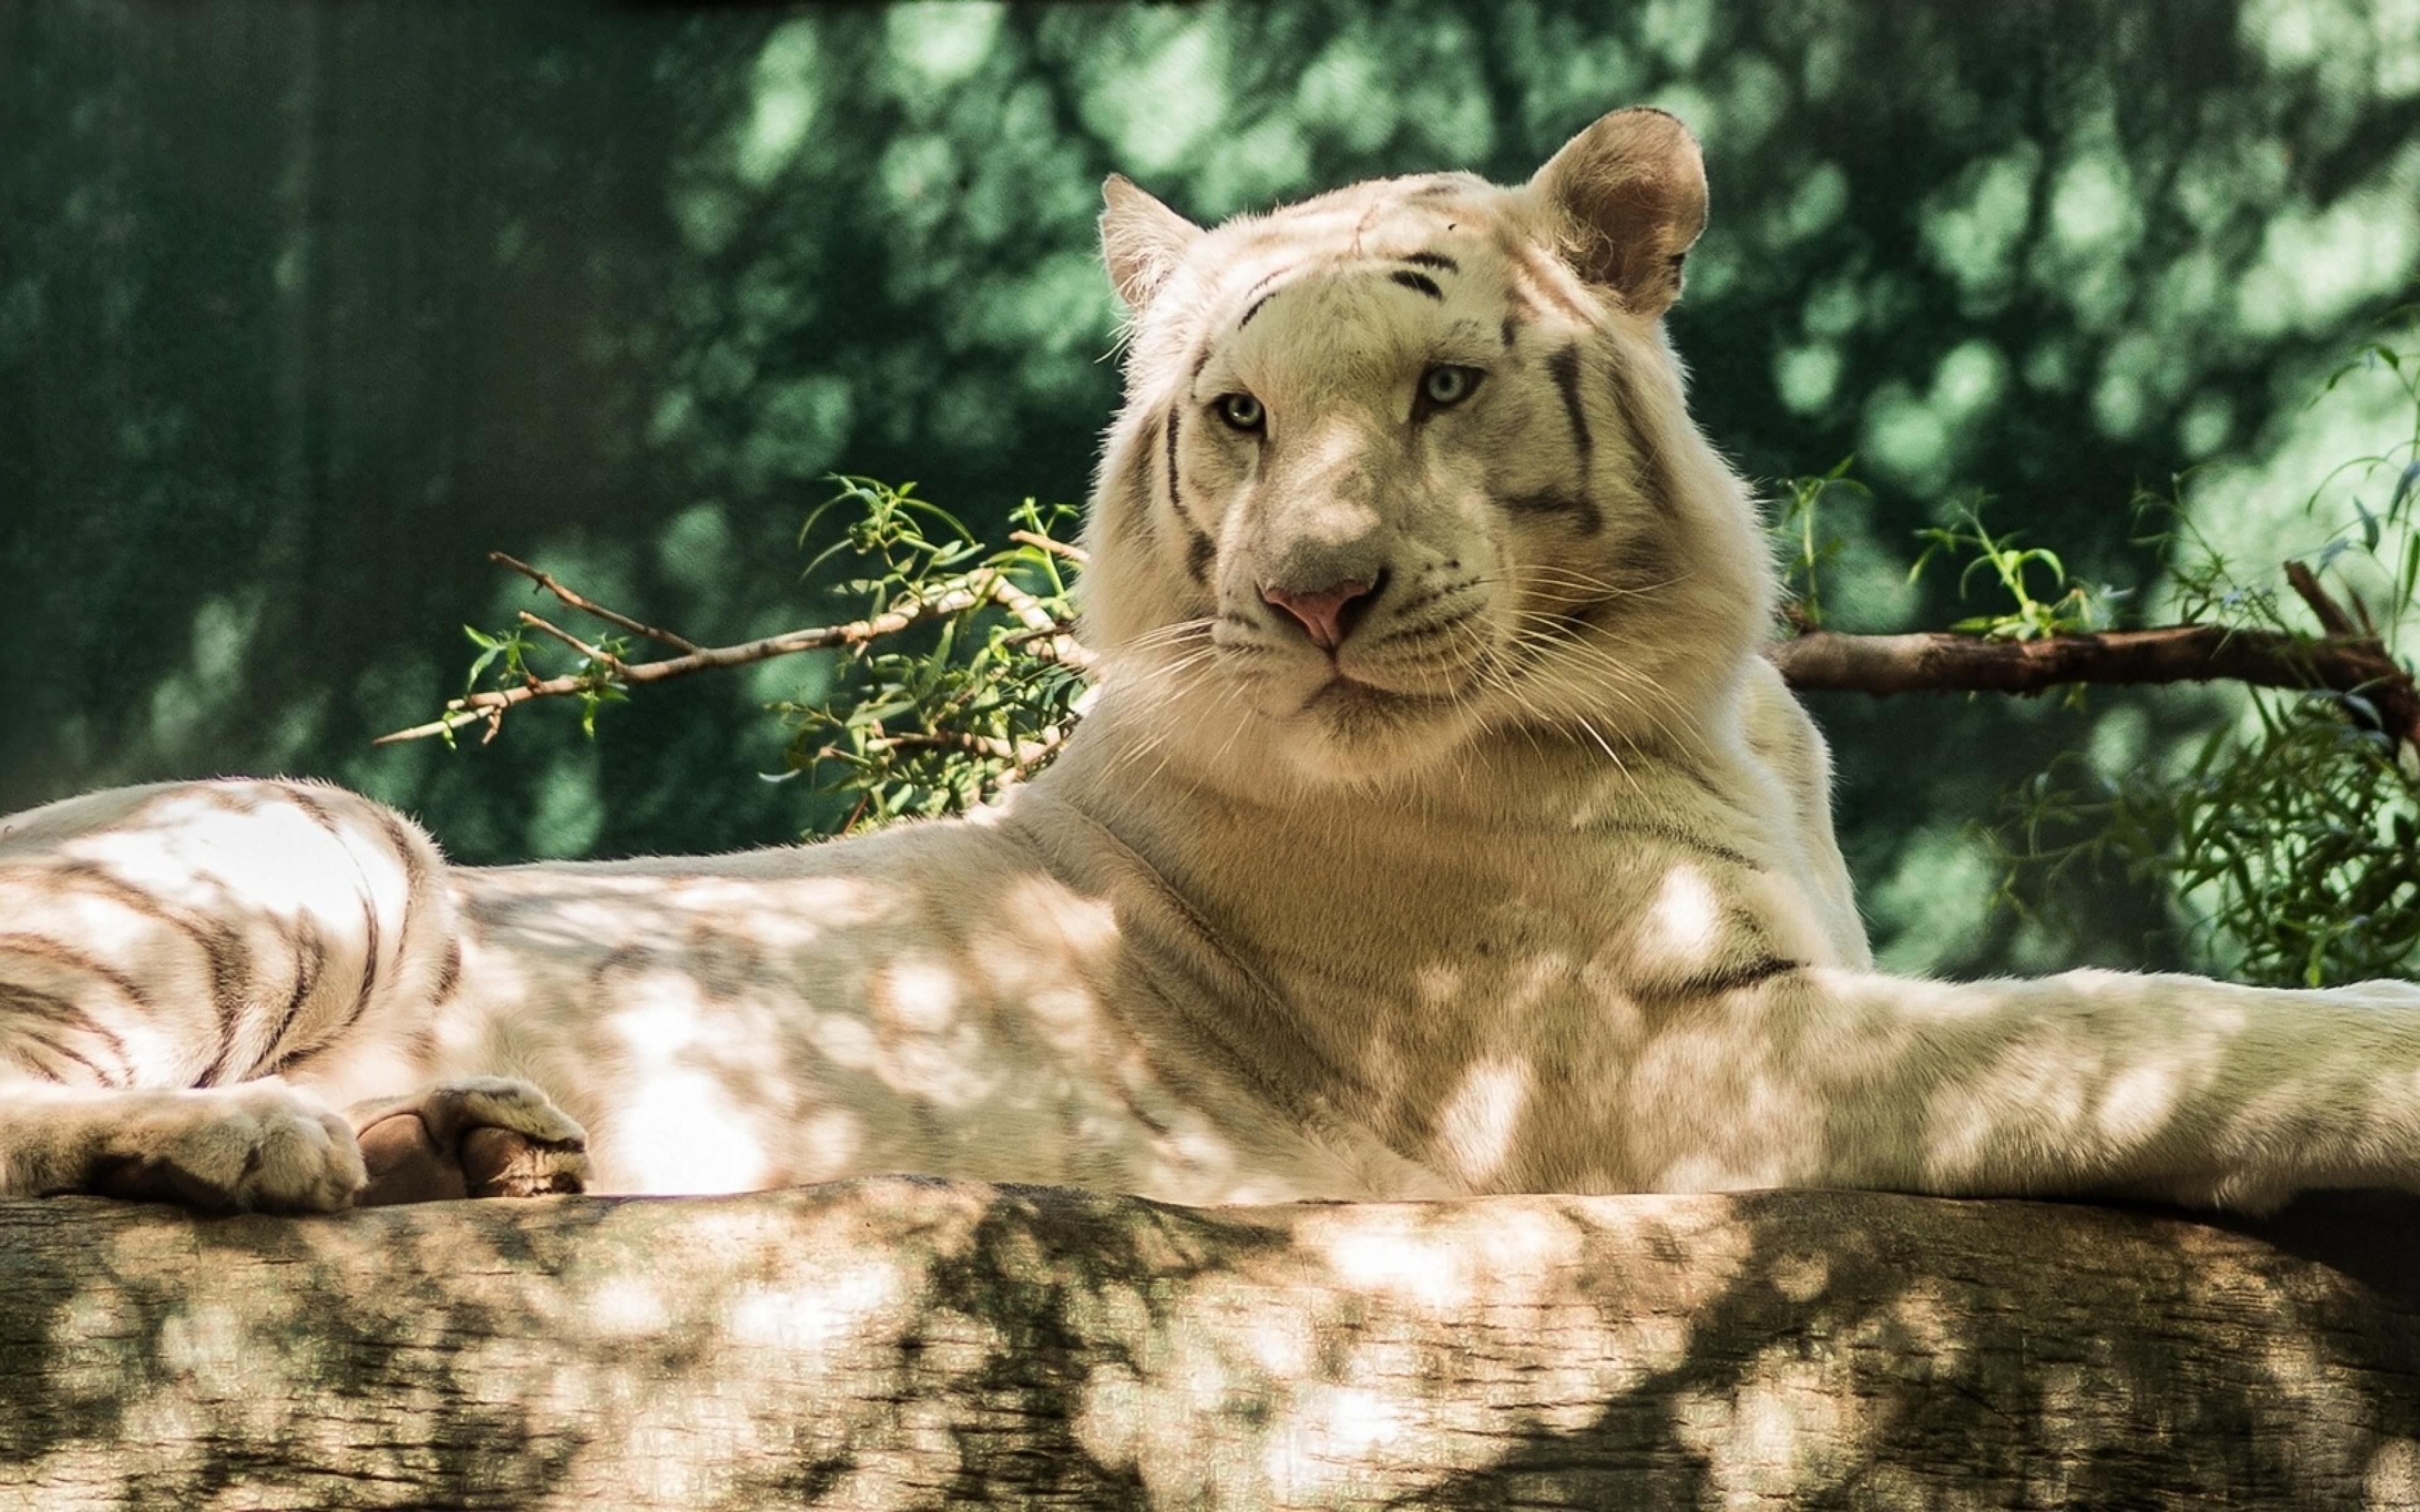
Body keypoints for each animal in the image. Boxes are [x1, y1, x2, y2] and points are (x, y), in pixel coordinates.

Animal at [4, 106, 2420, 1214]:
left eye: (1444, 388)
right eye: (1241, 415)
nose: (1318, 594)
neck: (1698, 697)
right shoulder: (1659, 1067)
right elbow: (2113, 1025)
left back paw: (473, 1139)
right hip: (306, 832)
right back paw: (242, 1146)